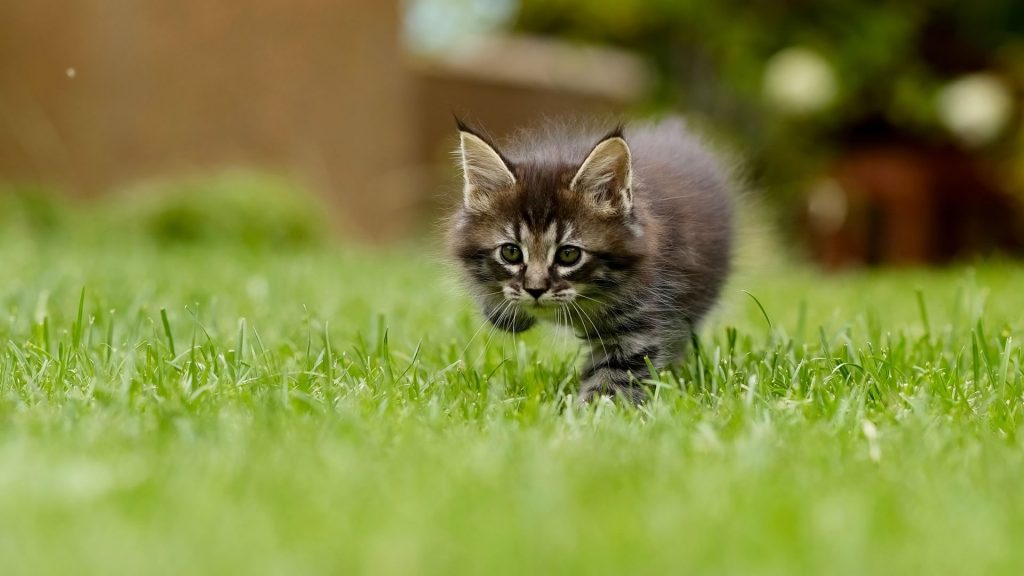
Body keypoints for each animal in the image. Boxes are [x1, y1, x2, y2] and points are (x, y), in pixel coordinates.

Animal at [450, 116, 737, 401]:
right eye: (511, 252)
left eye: (569, 255)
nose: (535, 289)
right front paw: (506, 312)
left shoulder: (638, 319)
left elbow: (614, 379)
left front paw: (590, 410)